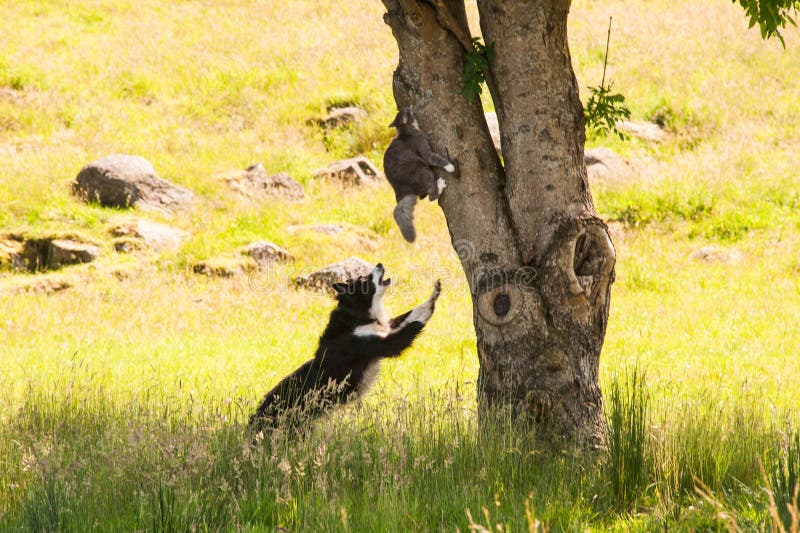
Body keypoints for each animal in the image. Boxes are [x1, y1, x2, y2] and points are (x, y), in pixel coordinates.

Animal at [248, 262, 440, 432]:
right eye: (364, 279)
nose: (379, 264)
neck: (356, 317)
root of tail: (253, 421)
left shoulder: (387, 328)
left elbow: (410, 314)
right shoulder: (384, 343)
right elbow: (417, 319)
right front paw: (434, 294)